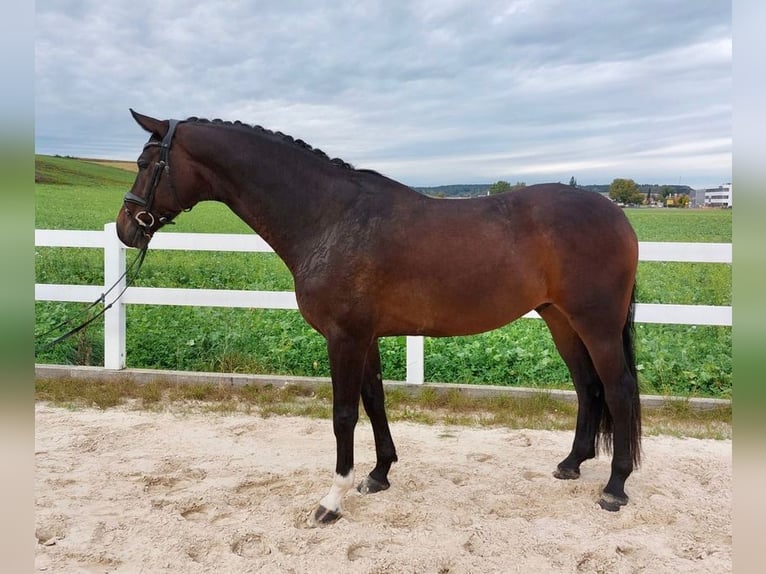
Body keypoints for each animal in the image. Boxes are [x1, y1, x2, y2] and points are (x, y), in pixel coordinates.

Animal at [116, 110, 641, 523]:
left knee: (617, 390)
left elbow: (344, 414)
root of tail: (615, 213)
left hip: (596, 324)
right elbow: (375, 402)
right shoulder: (364, 337)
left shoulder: (343, 337)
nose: (125, 228)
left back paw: (615, 487)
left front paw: (332, 500)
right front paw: (379, 474)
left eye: (144, 165)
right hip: (560, 320)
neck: (329, 219)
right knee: (588, 387)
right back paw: (571, 464)